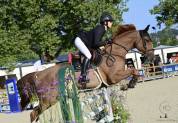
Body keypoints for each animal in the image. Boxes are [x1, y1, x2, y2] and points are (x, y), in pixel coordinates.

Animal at [17, 23, 155, 122]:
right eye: (147, 40)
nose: (151, 57)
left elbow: (133, 71)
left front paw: (128, 85)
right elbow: (134, 70)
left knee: (35, 114)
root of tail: (38, 75)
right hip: (48, 100)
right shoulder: (113, 77)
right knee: (33, 113)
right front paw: (129, 84)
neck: (115, 52)